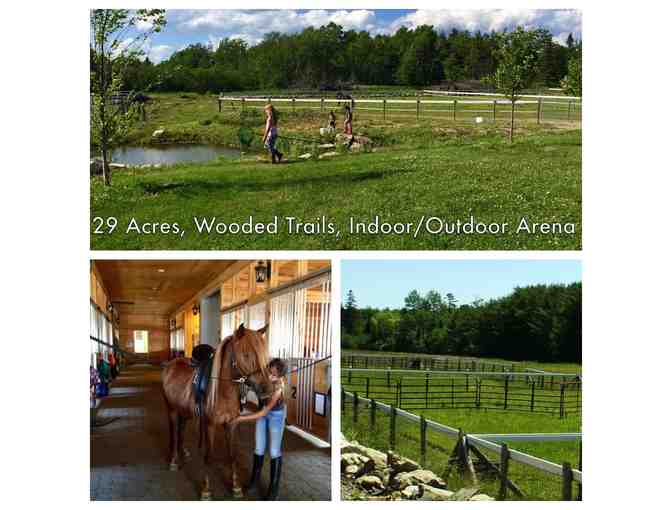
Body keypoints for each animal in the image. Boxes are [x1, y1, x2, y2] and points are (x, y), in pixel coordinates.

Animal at [160, 324, 270, 500]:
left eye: (265, 354)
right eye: (246, 354)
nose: (266, 391)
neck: (222, 390)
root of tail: (170, 365)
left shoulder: (231, 425)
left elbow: (232, 456)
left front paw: (236, 487)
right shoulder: (210, 425)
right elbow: (209, 457)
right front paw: (206, 490)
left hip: (184, 410)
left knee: (181, 429)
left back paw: (183, 451)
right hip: (171, 409)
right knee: (174, 432)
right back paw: (174, 460)